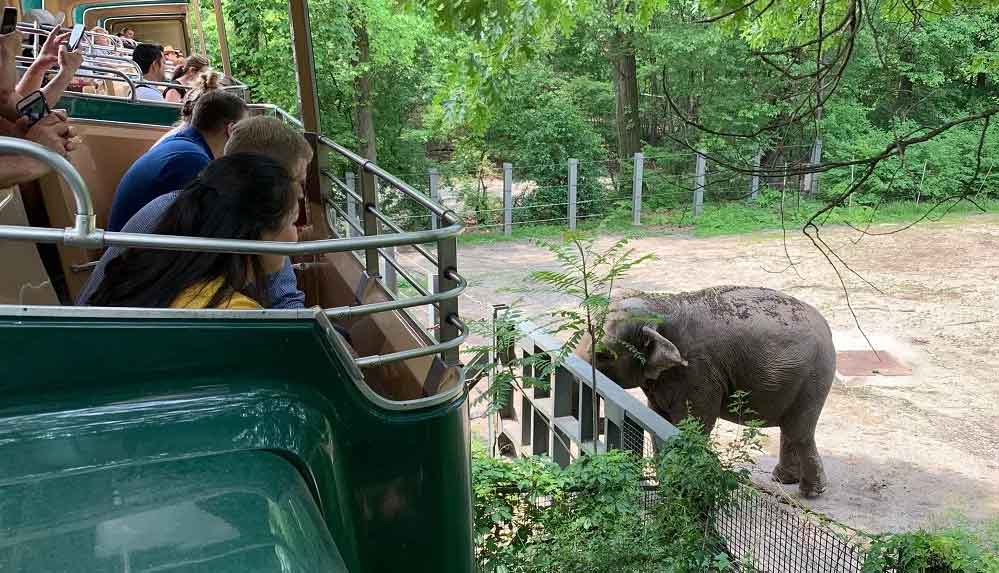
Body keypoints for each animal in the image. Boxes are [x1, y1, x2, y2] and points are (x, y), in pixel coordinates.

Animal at [576, 286, 840, 496]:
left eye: (603, 356)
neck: (661, 305)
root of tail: (826, 326)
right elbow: (657, 420)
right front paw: (667, 485)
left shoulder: (698, 371)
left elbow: (693, 425)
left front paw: (680, 488)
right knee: (791, 428)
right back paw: (783, 479)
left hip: (815, 376)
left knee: (799, 431)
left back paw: (811, 492)